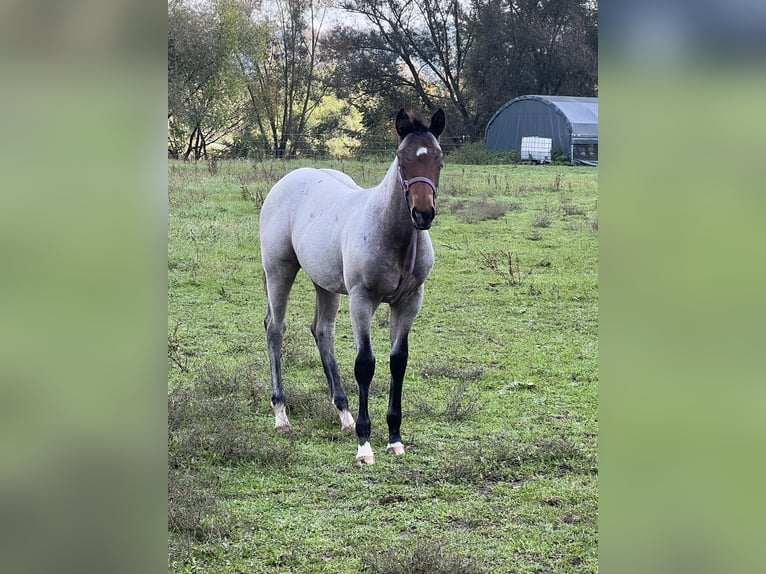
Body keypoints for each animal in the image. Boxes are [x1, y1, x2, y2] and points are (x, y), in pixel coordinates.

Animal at [260, 108, 448, 466]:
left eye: (439, 159)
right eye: (401, 159)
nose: (423, 214)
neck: (395, 237)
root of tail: (288, 179)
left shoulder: (410, 301)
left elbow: (398, 361)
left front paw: (394, 438)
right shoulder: (362, 299)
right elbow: (365, 364)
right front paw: (365, 445)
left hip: (325, 282)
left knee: (322, 331)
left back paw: (343, 414)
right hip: (278, 269)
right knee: (275, 328)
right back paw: (281, 415)